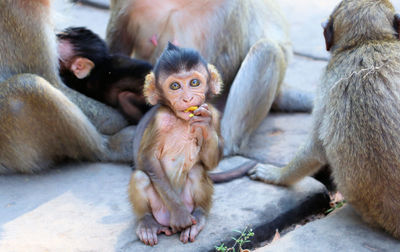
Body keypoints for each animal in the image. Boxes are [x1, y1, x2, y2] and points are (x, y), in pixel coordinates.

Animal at [129, 42, 223, 245]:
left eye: (194, 83)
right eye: (175, 86)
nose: (187, 99)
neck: (182, 120)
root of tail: (166, 223)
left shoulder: (213, 112)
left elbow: (210, 163)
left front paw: (205, 124)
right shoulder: (159, 120)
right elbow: (147, 159)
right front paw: (180, 216)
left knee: (197, 170)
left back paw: (198, 218)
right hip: (160, 208)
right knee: (140, 177)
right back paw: (147, 223)